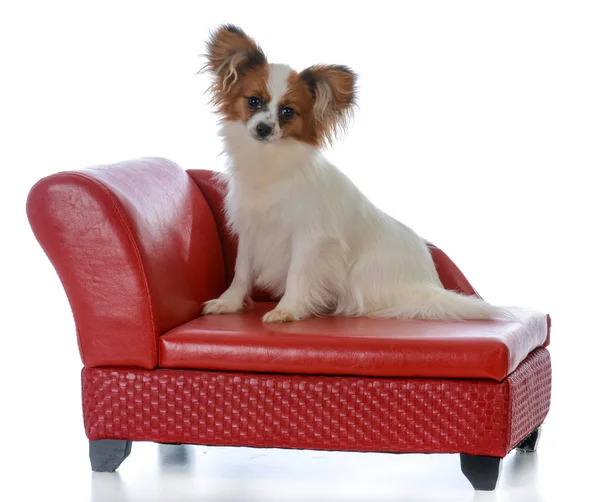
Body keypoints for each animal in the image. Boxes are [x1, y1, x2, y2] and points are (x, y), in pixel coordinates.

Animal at [200, 24, 506, 322]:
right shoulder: (251, 231)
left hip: (363, 277)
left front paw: (288, 309)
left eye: (288, 112)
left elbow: (297, 275)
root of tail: (430, 284)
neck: (269, 160)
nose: (263, 128)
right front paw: (229, 303)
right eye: (253, 101)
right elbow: (241, 272)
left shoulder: (309, 238)